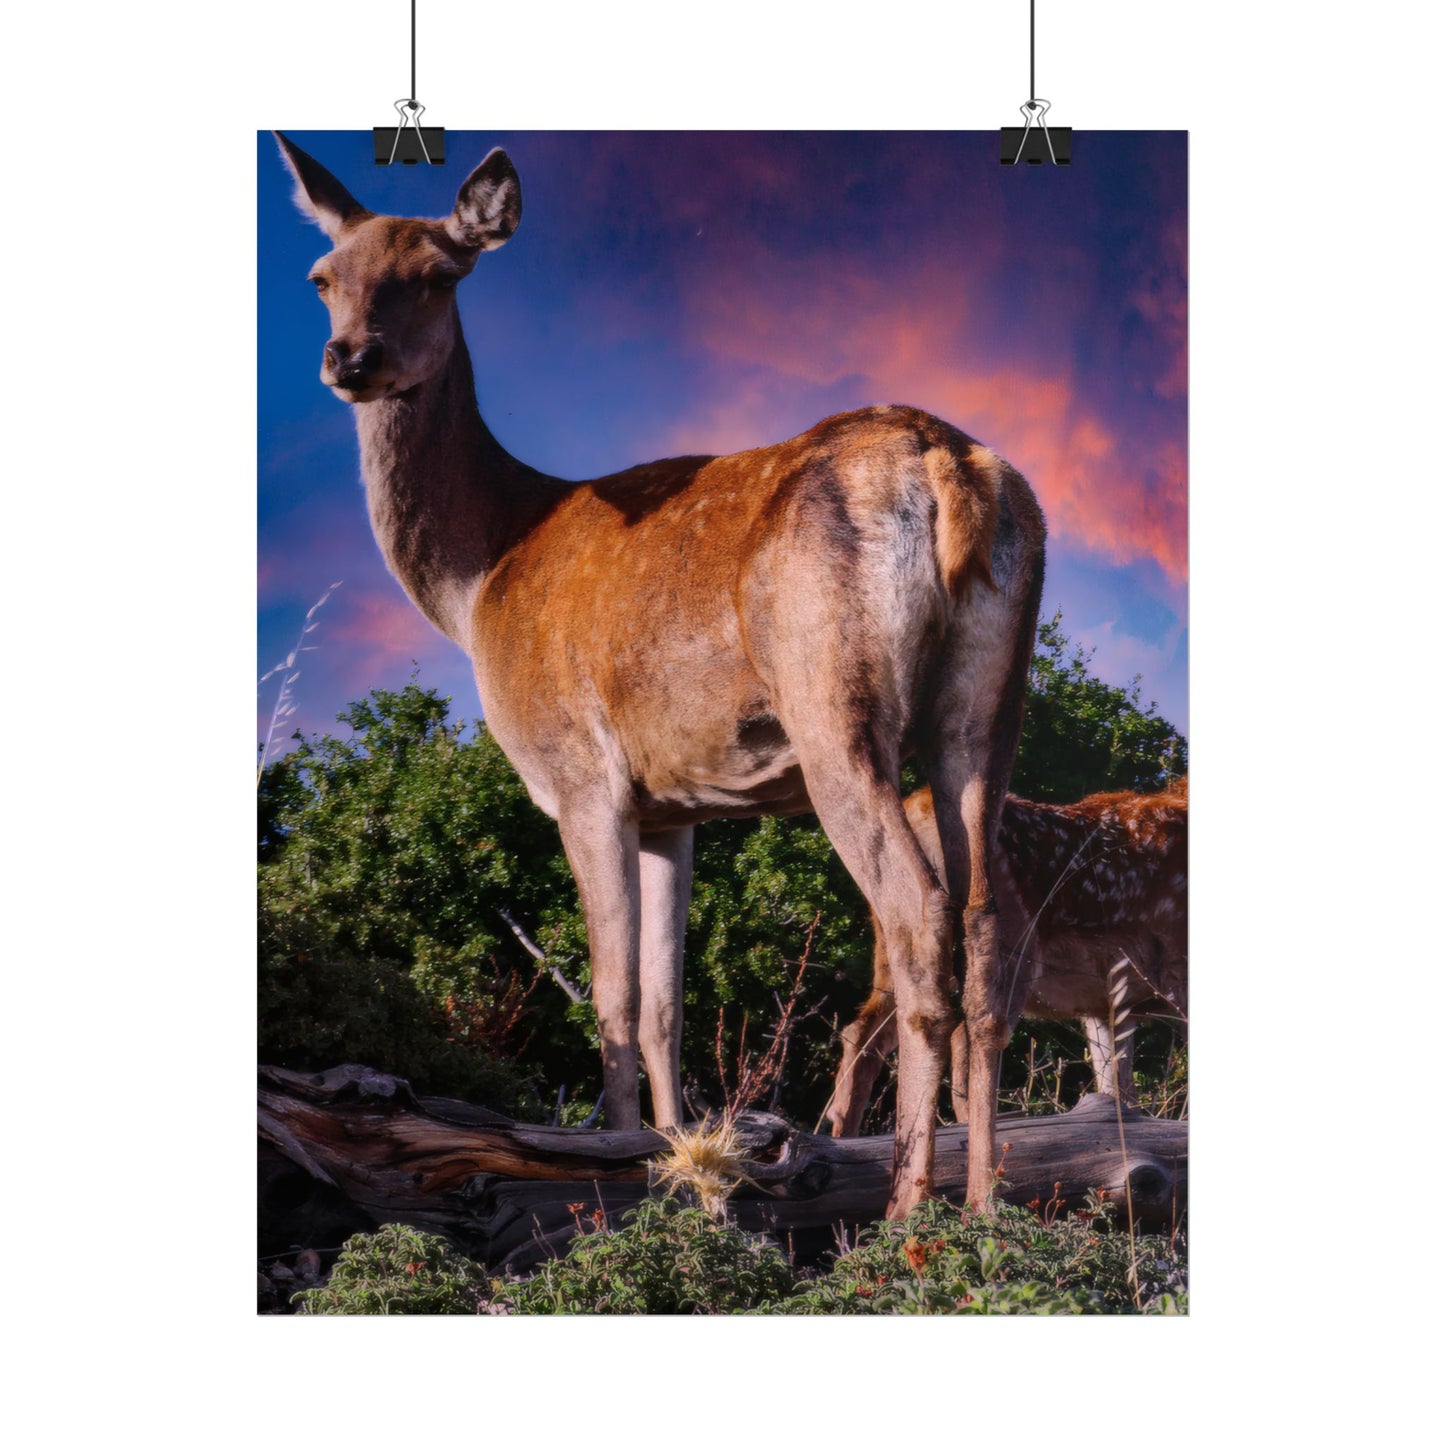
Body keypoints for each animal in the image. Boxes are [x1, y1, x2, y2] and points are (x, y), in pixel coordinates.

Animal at [274, 135, 1046, 1216]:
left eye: (436, 272)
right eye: (323, 275)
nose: (350, 358)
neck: (479, 577)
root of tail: (948, 469)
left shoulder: (578, 772)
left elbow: (609, 991)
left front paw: (614, 1166)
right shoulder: (671, 803)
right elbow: (662, 1002)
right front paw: (679, 1153)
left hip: (833, 699)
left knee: (915, 913)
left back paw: (904, 1208)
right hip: (986, 705)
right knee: (985, 923)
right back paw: (980, 1204)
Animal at [825, 776, 1187, 1136]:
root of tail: (920, 808)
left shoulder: (1107, 1004)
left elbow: (1118, 1094)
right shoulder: (1175, 975)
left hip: (896, 947)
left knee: (864, 1032)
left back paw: (843, 1132)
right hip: (1006, 953)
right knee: (967, 1045)